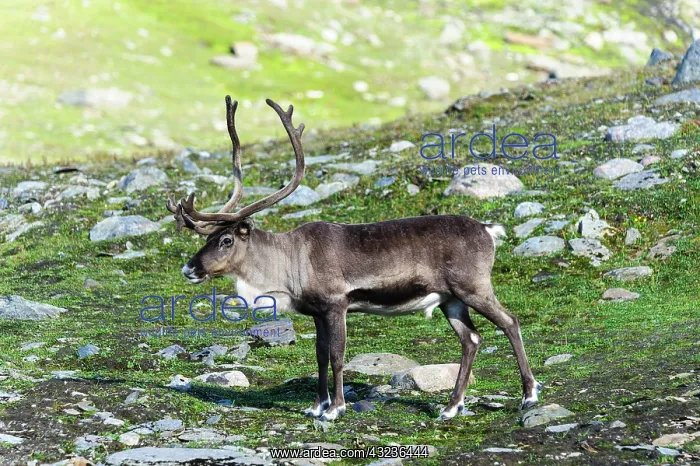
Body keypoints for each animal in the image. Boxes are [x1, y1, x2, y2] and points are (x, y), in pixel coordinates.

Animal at [166, 96, 542, 421]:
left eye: (226, 239)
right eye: (208, 238)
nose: (189, 268)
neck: (288, 266)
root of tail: (488, 230)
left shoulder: (337, 304)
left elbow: (337, 356)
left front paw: (335, 408)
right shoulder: (317, 312)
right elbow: (319, 356)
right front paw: (315, 406)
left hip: (473, 286)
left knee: (510, 322)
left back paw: (528, 395)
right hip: (450, 299)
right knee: (471, 339)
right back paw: (450, 407)